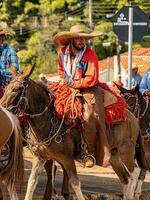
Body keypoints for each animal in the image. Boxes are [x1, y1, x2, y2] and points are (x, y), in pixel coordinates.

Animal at [0, 66, 139, 200]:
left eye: (16, 89)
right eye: (6, 88)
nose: (3, 110)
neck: (50, 120)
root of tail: (131, 116)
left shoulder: (67, 159)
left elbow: (75, 184)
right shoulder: (40, 157)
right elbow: (31, 183)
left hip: (126, 151)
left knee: (134, 173)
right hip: (114, 155)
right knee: (125, 179)